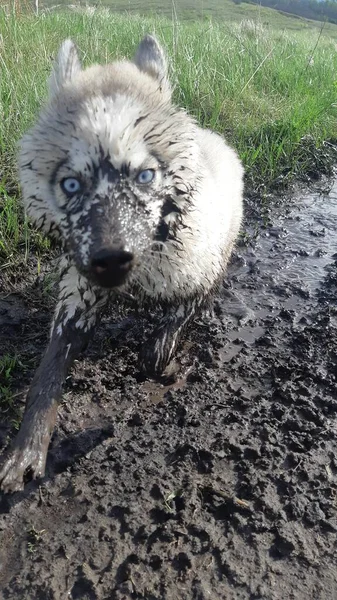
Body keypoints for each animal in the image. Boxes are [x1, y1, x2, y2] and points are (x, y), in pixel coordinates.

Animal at [0, 35, 243, 490]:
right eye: (71, 184)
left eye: (145, 176)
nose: (111, 261)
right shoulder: (78, 294)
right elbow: (47, 376)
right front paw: (25, 452)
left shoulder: (196, 273)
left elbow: (171, 330)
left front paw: (163, 358)